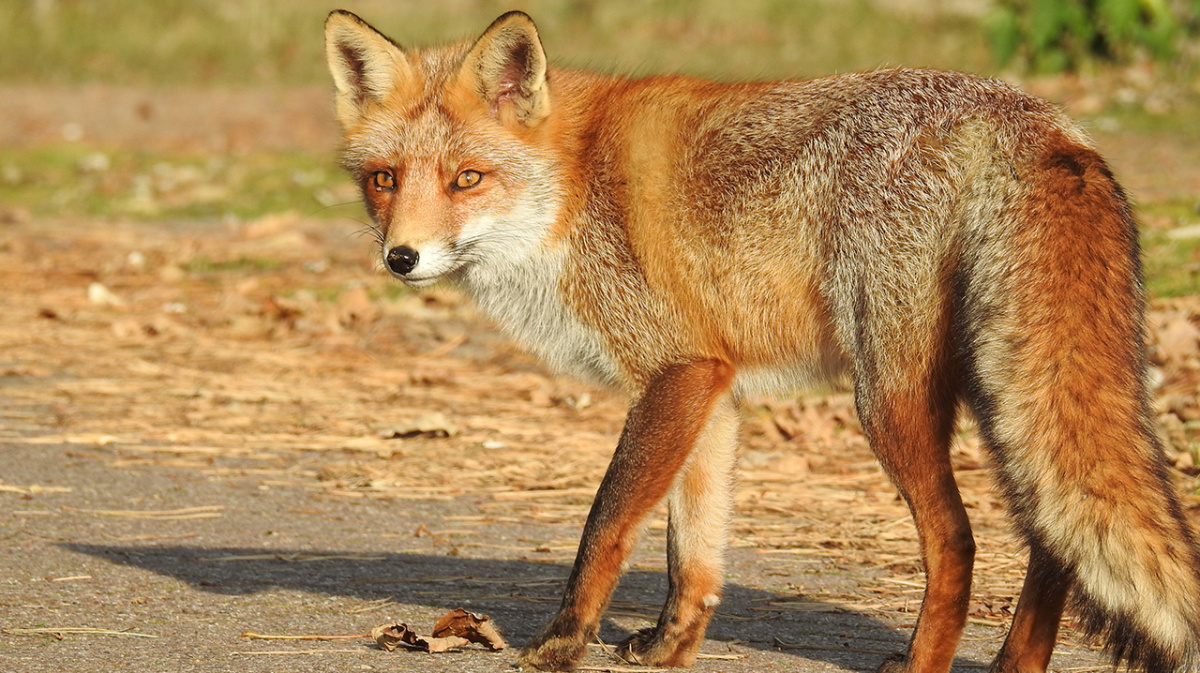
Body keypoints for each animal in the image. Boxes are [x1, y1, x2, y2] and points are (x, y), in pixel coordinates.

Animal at [321, 9, 1200, 671]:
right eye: (384, 180)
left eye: (466, 179)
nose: (401, 257)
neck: (572, 187)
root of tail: (1035, 118)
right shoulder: (711, 387)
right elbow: (693, 550)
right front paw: (669, 646)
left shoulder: (676, 371)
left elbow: (607, 524)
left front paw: (562, 642)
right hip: (1001, 392)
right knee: (1054, 540)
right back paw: (1016, 663)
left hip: (890, 397)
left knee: (959, 539)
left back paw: (924, 661)